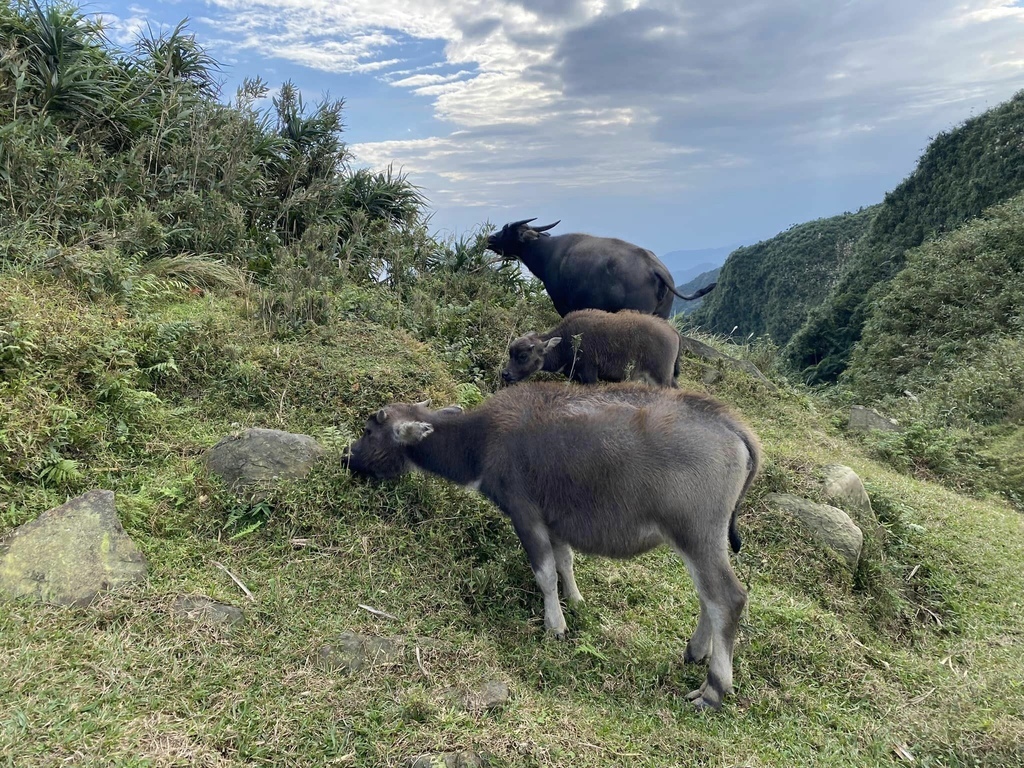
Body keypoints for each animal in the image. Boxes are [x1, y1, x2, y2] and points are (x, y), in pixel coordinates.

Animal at [344, 382, 761, 712]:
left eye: (368, 429)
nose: (347, 456)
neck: (482, 440)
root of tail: (731, 424)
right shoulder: (555, 520)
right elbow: (565, 562)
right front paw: (575, 601)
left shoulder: (525, 514)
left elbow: (544, 573)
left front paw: (555, 625)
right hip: (705, 541)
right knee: (708, 597)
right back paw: (695, 651)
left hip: (696, 535)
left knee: (727, 598)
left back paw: (713, 690)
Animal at [485, 218, 712, 319]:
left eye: (507, 230)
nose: (490, 238)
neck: (548, 252)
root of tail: (656, 268)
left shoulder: (563, 303)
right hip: (661, 315)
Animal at [501, 309, 679, 387]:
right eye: (510, 353)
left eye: (523, 356)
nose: (505, 374)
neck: (567, 341)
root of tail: (672, 331)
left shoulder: (589, 376)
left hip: (660, 378)